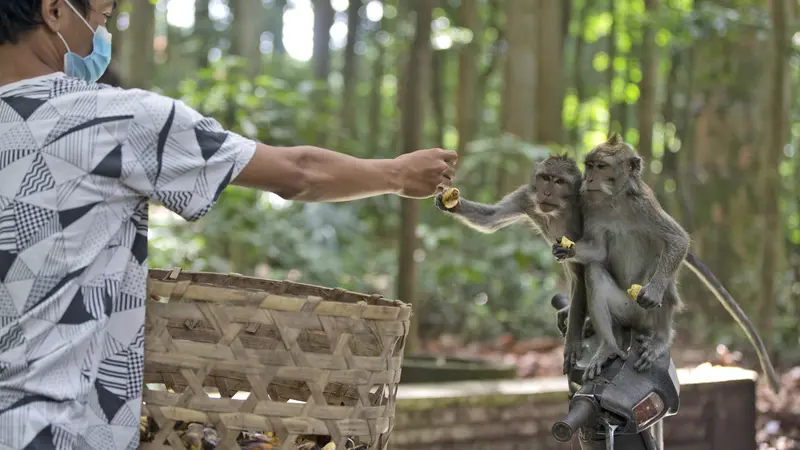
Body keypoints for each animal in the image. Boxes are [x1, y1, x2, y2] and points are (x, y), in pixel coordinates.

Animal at [552, 134, 780, 394]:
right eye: (589, 166)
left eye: (600, 167)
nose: (588, 179)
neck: (615, 200)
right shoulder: (590, 206)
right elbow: (598, 252)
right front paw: (569, 249)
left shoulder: (645, 205)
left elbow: (677, 240)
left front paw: (654, 290)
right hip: (625, 309)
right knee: (595, 271)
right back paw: (608, 347)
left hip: (645, 313)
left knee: (661, 270)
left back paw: (659, 338)